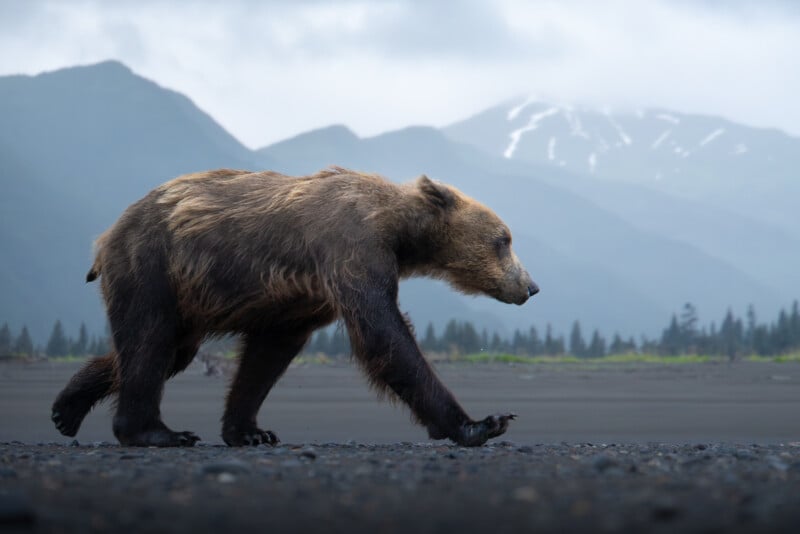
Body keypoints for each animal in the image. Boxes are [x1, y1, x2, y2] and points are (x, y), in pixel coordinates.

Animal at [51, 167, 538, 447]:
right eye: (504, 239)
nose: (530, 286)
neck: (399, 231)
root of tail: (107, 234)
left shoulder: (300, 296)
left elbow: (268, 355)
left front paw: (250, 430)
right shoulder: (350, 250)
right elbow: (384, 333)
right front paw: (480, 422)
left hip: (180, 292)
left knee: (167, 350)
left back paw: (66, 408)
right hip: (152, 264)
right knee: (150, 340)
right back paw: (156, 431)